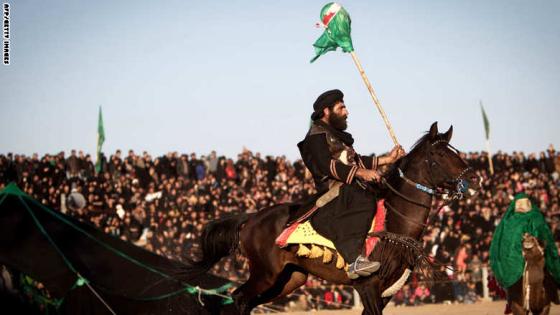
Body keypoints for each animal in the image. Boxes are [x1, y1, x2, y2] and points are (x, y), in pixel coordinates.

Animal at [197, 122, 482, 314]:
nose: (475, 178)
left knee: (243, 301)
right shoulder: (368, 287)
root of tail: (252, 218)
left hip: (288, 279)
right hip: (264, 274)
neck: (394, 223)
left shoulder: (386, 293)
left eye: (455, 151)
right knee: (238, 299)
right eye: (440, 155)